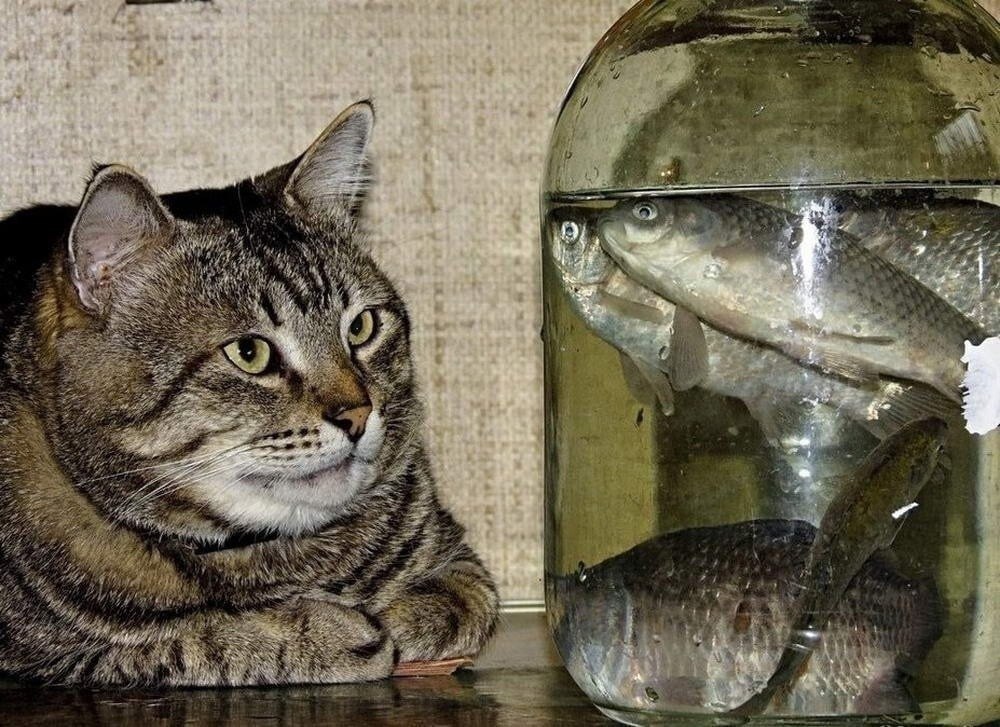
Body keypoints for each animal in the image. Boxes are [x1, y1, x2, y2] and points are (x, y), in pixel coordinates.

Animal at [0, 101, 499, 686]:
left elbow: (462, 598)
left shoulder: (460, 554)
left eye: (361, 327)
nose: (358, 414)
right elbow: (188, 638)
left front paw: (402, 615)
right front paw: (326, 631)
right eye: (249, 352)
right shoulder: (43, 658)